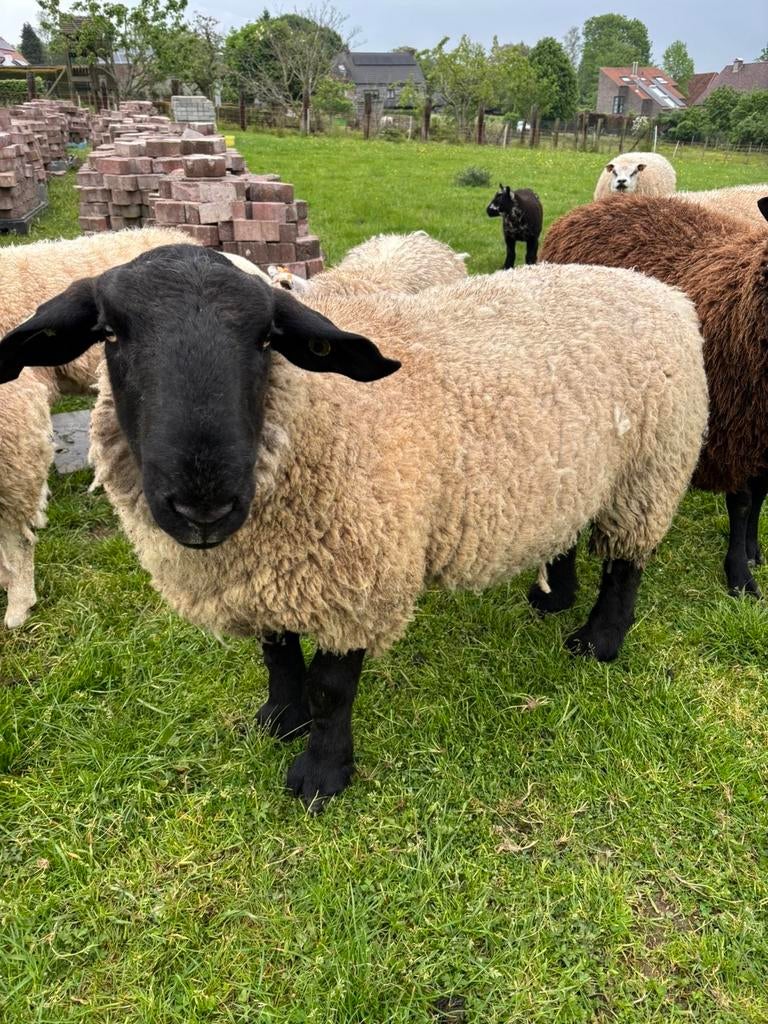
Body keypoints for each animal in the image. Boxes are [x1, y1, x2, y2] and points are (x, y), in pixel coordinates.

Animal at [541, 194, 768, 597]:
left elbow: (760, 495)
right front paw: (740, 575)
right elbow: (742, 502)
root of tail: (589, 209)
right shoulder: (731, 429)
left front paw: (753, 551)